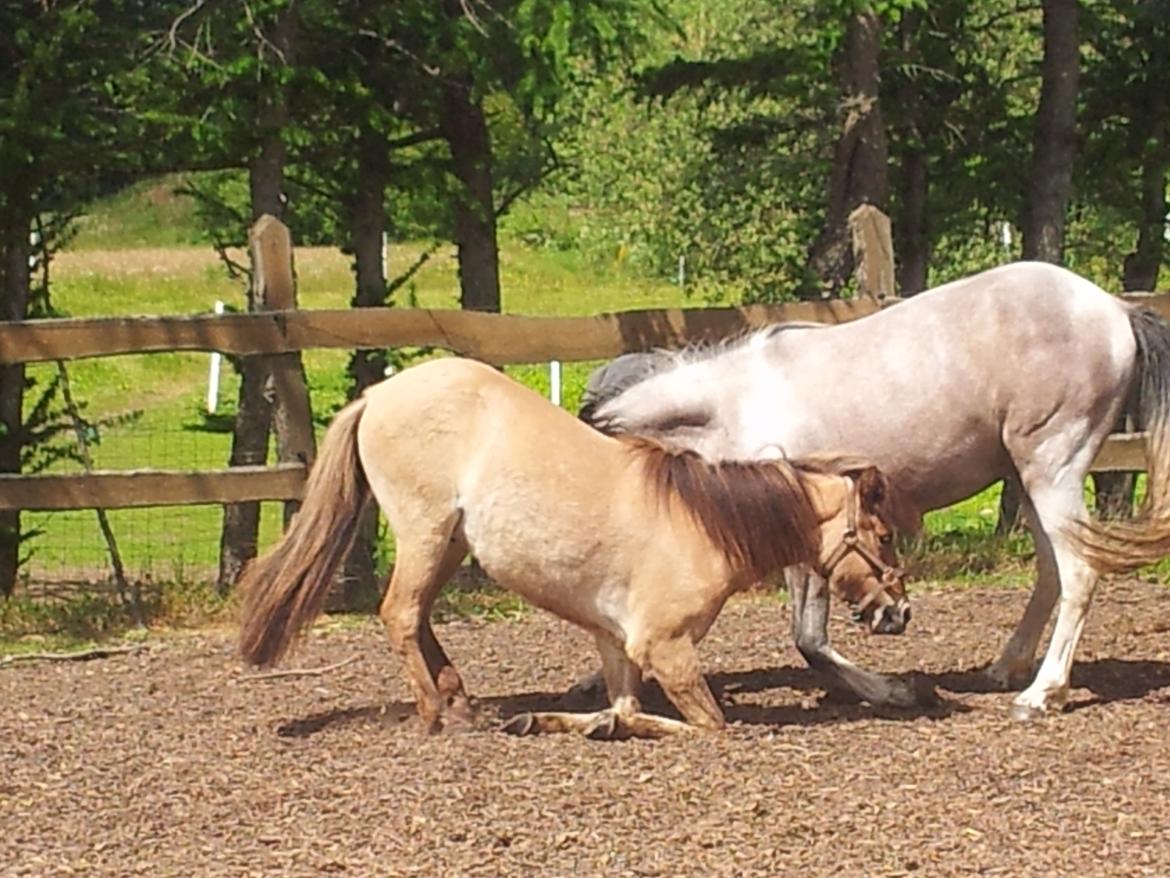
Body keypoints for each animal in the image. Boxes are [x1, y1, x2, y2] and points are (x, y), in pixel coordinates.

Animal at [585, 261, 1170, 721]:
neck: (733, 410)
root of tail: (1114, 309)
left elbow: (809, 639)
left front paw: (895, 691)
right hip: (1028, 478)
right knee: (1051, 571)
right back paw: (1005, 670)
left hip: (1053, 468)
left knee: (1079, 573)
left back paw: (1042, 694)